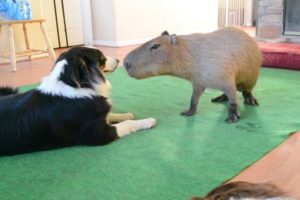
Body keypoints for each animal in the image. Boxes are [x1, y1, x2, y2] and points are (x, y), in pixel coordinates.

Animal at [0, 47, 158, 156]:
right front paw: (148, 121)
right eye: (101, 57)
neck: (78, 85)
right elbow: (127, 124)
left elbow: (111, 114)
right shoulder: (97, 134)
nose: (119, 60)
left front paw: (126, 114)